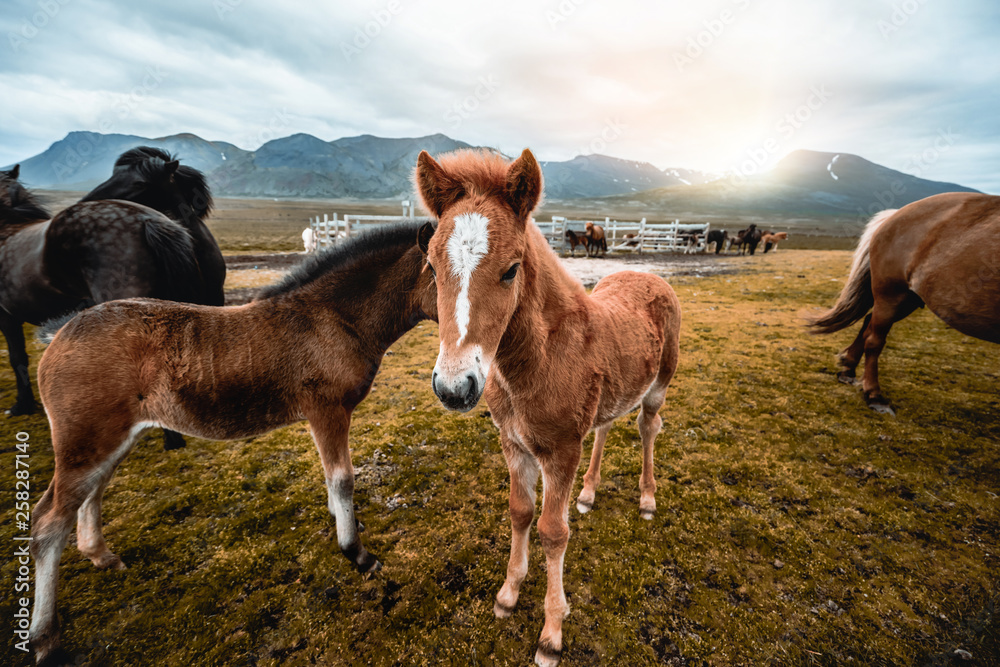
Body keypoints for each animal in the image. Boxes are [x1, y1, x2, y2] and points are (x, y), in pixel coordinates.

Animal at [27, 222, 438, 664]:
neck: (333, 318)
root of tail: (60, 334)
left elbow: (331, 478)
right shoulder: (326, 409)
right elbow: (342, 479)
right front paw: (357, 553)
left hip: (111, 439)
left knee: (90, 495)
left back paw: (101, 556)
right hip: (85, 441)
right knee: (48, 523)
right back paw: (45, 638)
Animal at [812, 190, 1000, 414]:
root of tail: (894, 214)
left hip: (908, 299)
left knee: (867, 324)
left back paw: (848, 369)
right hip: (892, 295)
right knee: (874, 340)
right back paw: (873, 394)